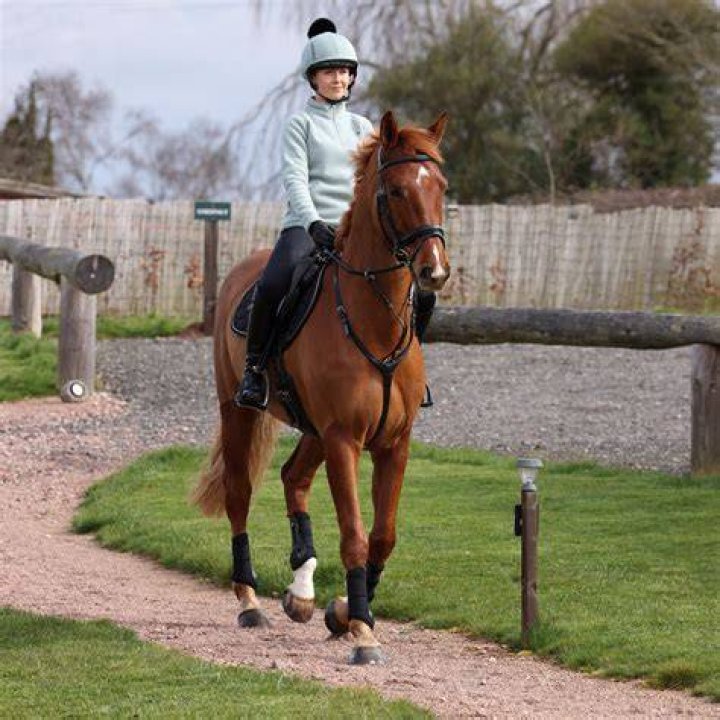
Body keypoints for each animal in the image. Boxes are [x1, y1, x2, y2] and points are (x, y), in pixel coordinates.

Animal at [192, 110, 450, 665]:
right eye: (396, 190)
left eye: (441, 186)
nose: (434, 270)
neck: (371, 319)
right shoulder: (344, 441)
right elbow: (354, 535)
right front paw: (362, 632)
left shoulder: (393, 445)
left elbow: (383, 537)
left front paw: (347, 612)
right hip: (240, 412)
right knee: (240, 494)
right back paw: (250, 600)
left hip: (312, 430)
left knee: (293, 478)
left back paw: (302, 591)